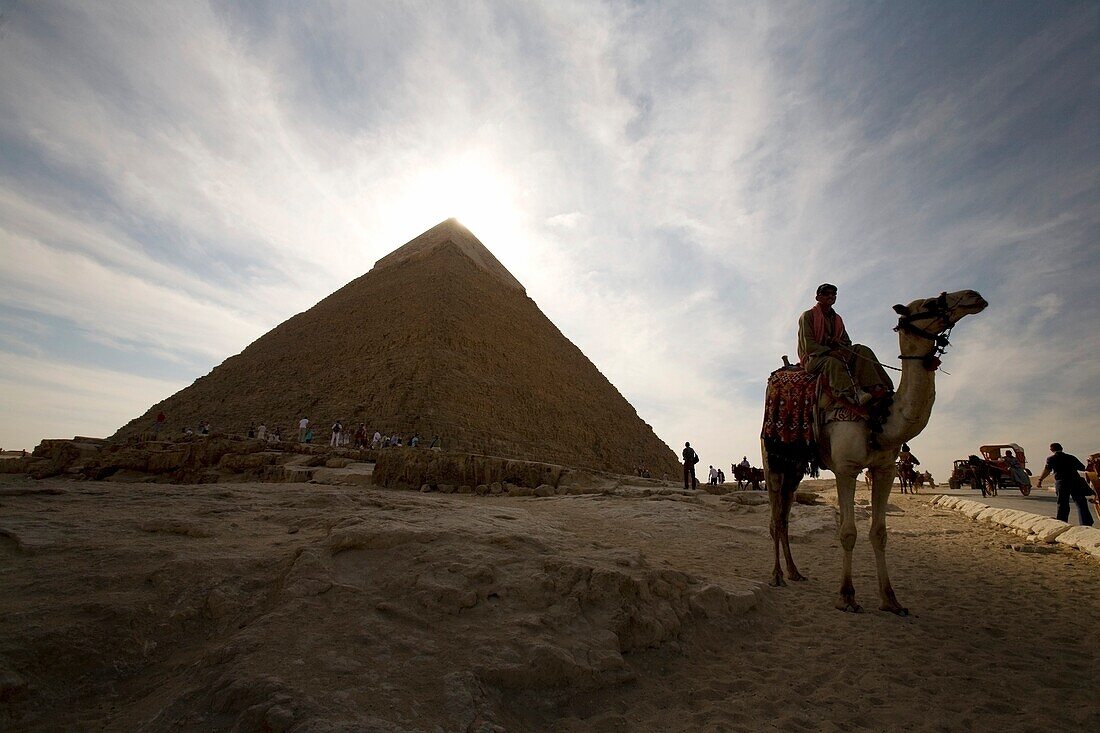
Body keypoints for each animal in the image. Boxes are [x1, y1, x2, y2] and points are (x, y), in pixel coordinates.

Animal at [765, 288, 990, 611]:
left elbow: (880, 533)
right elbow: (848, 532)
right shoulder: (846, 469)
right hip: (771, 457)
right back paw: (776, 576)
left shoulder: (884, 470)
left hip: (795, 466)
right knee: (774, 517)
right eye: (930, 302)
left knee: (784, 516)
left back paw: (795, 572)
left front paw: (891, 600)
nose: (975, 295)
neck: (879, 418)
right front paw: (847, 596)